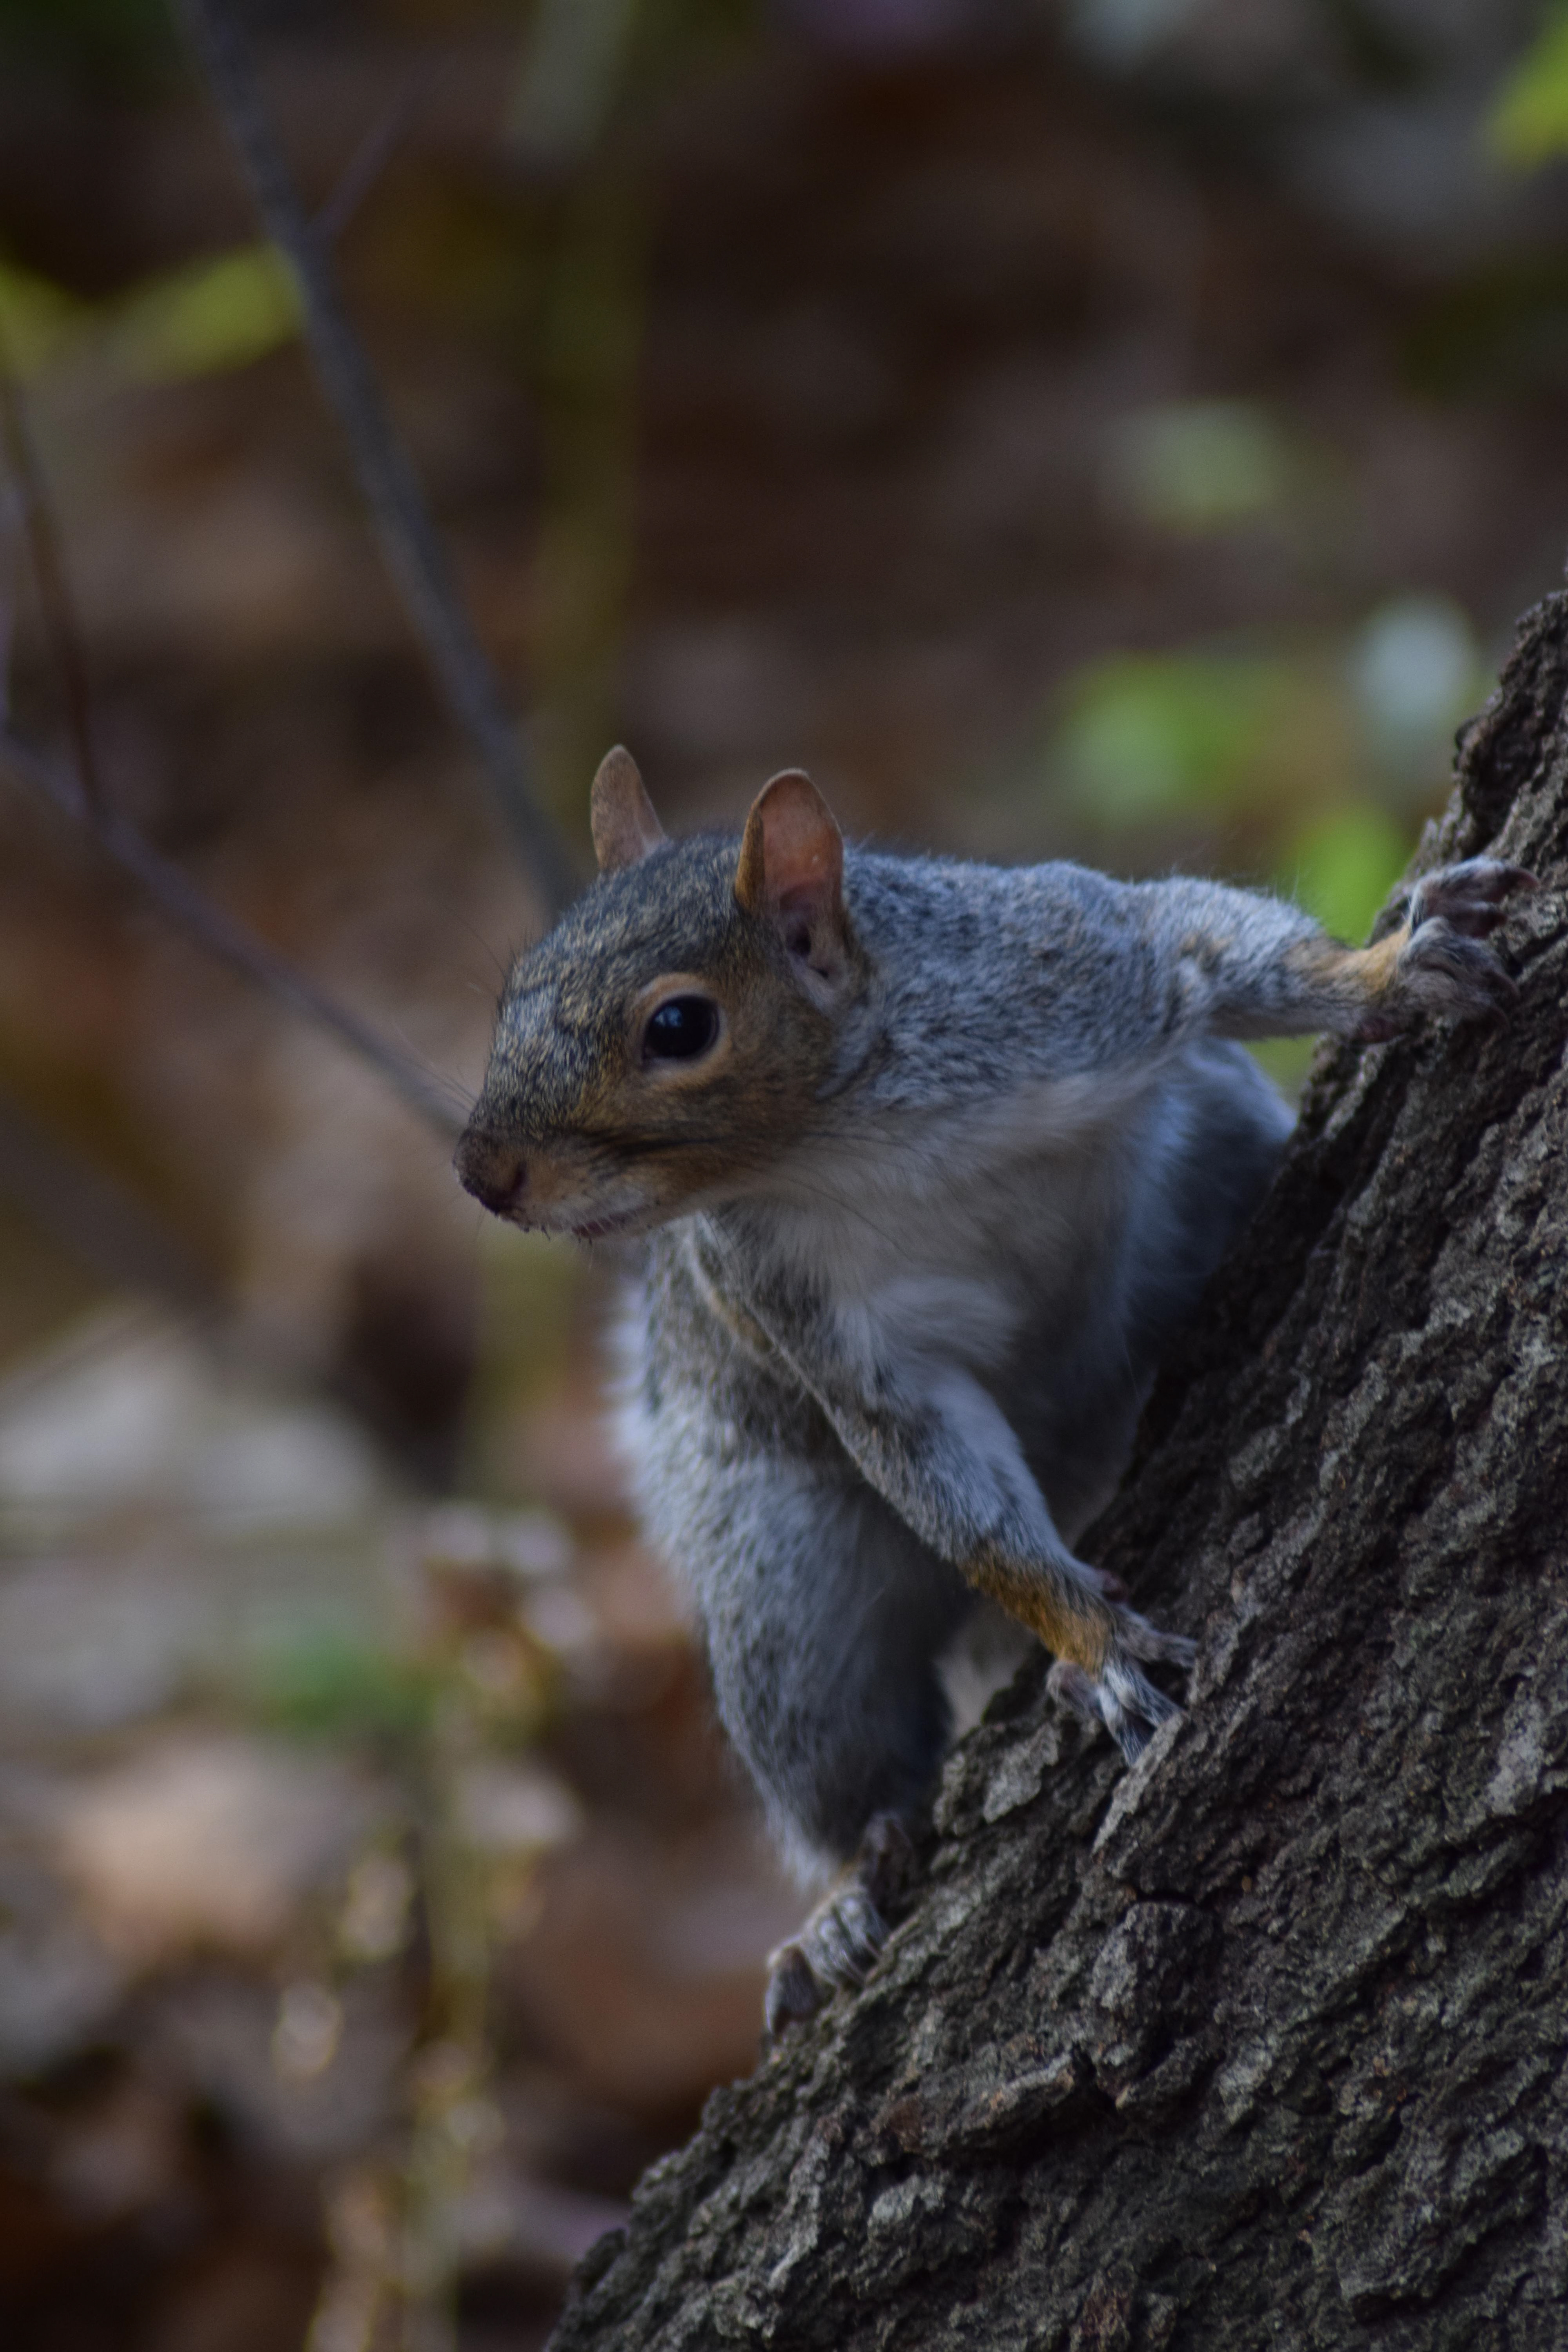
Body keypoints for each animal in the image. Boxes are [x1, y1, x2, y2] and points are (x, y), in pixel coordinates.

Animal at [455, 746, 1532, 2034]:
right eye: (517, 984)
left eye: (678, 1025)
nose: (480, 1172)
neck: (844, 1139)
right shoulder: (823, 1327)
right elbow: (960, 1502)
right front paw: (1092, 1643)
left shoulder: (1073, 966)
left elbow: (1217, 944)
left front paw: (1388, 970)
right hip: (781, 1593)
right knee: (837, 1761)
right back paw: (839, 1903)